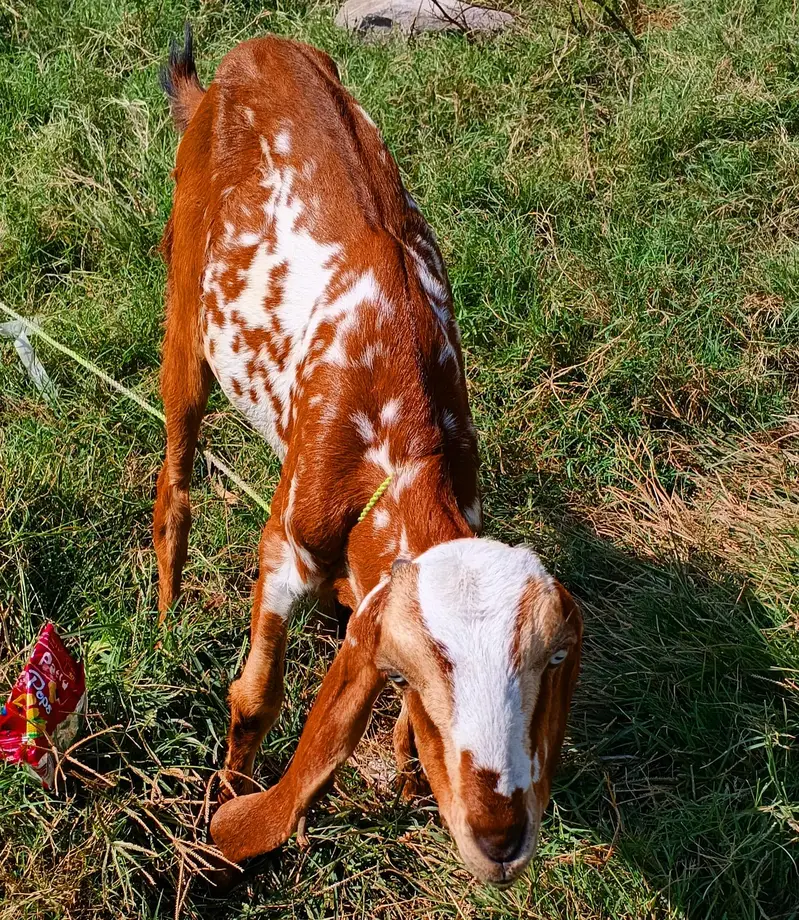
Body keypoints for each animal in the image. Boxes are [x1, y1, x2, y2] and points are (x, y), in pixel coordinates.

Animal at [155, 27, 583, 886]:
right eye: (417, 669)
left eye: (546, 667)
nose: (499, 837)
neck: (402, 452)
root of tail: (253, 48)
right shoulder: (288, 546)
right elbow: (254, 698)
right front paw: (224, 816)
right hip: (185, 296)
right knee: (174, 473)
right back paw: (162, 615)